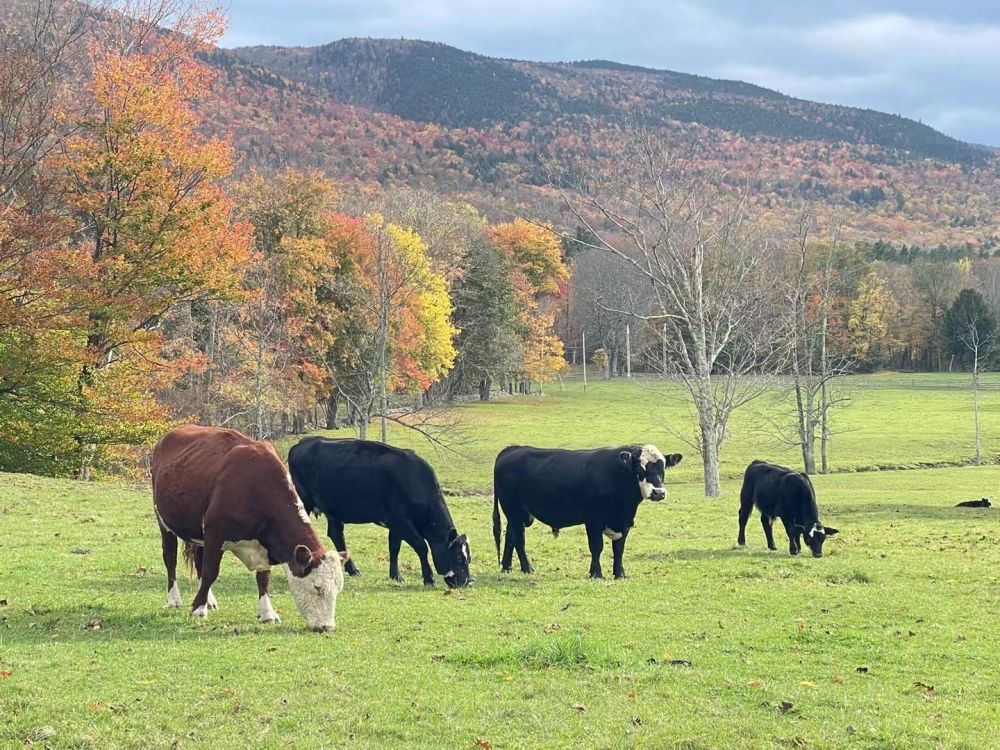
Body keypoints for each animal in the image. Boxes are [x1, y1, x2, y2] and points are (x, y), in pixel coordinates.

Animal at [152, 425, 349, 632]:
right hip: (164, 521)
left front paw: (267, 613)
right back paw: (174, 599)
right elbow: (210, 572)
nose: (327, 626)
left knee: (198, 559)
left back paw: (209, 600)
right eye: (317, 587)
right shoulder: (215, 533)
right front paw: (198, 609)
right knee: (170, 558)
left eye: (338, 588)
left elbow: (263, 578)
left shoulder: (264, 543)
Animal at [287, 437, 471, 588]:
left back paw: (352, 569)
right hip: (302, 501)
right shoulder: (401, 521)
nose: (466, 582)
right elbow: (421, 546)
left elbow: (394, 547)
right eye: (458, 558)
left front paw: (396, 576)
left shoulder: (396, 524)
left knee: (336, 535)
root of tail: (302, 443)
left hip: (333, 510)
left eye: (469, 558)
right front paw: (429, 579)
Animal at [492, 444, 682, 579]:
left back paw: (506, 567)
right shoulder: (593, 520)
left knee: (510, 535)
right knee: (519, 538)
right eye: (640, 468)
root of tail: (512, 449)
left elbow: (619, 548)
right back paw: (527, 568)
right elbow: (596, 547)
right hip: (513, 509)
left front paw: (620, 574)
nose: (658, 492)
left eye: (663, 469)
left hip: (518, 513)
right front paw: (596, 574)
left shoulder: (625, 522)